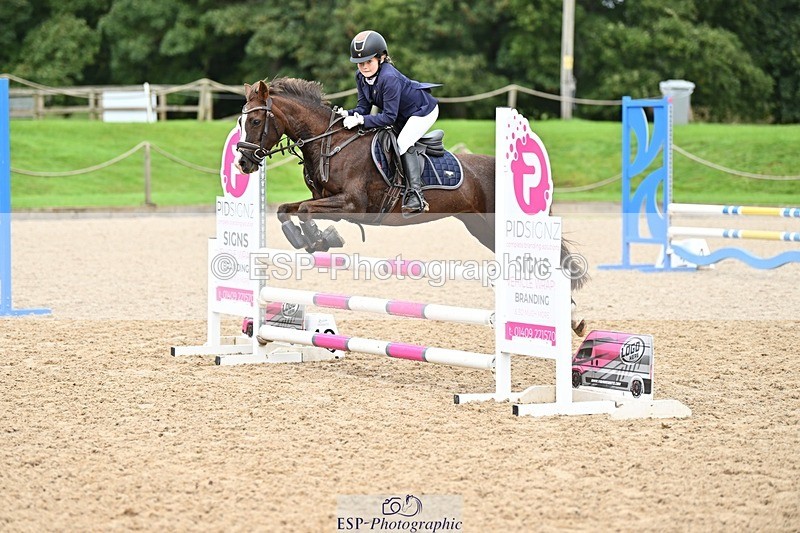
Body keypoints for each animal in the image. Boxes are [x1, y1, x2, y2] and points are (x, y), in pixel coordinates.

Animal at [235, 78, 588, 334]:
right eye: (241, 120)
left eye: (255, 120)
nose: (243, 163)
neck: (330, 143)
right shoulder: (323, 198)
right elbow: (286, 209)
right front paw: (310, 240)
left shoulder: (352, 204)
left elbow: (307, 212)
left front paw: (322, 240)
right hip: (480, 227)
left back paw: (569, 319)